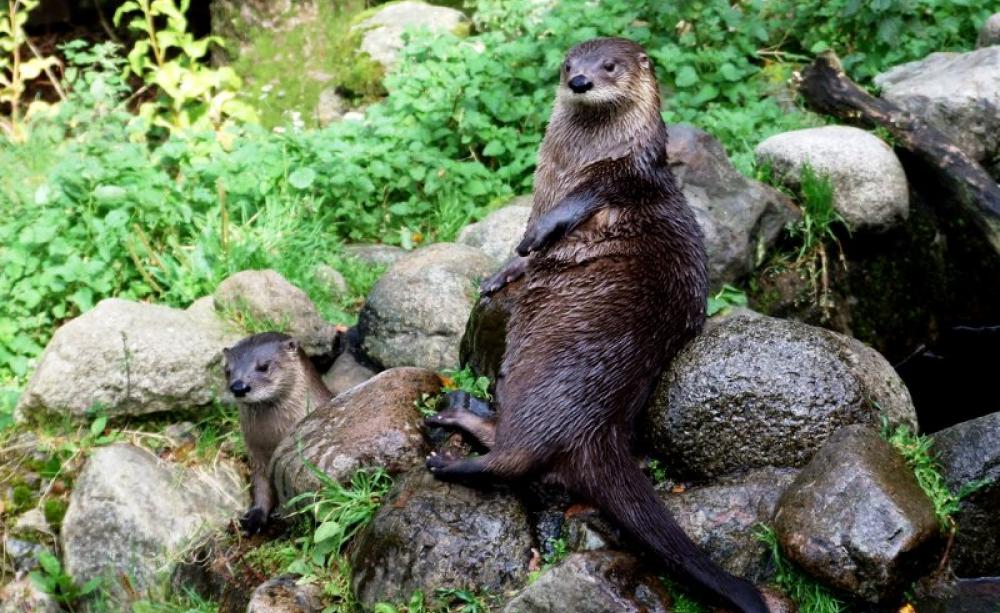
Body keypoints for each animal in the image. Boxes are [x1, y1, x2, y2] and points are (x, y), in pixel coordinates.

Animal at [223, 332, 332, 534]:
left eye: (264, 366)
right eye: (227, 370)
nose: (239, 387)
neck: (273, 439)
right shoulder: (256, 456)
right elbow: (261, 487)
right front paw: (254, 518)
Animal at [424, 38, 769, 613]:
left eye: (610, 65)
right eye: (569, 64)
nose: (580, 81)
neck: (573, 162)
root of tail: (598, 428)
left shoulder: (627, 173)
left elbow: (586, 200)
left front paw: (541, 233)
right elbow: (521, 253)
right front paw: (502, 273)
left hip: (539, 382)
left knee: (517, 460)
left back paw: (449, 464)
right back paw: (459, 415)